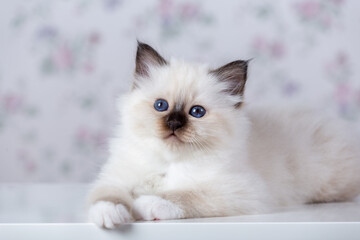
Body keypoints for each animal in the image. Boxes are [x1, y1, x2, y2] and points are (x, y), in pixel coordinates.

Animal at [87, 41, 360, 229]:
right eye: (161, 106)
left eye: (196, 112)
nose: (174, 123)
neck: (170, 163)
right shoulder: (115, 179)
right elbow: (106, 197)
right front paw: (111, 215)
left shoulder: (238, 191)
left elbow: (184, 195)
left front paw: (146, 203)